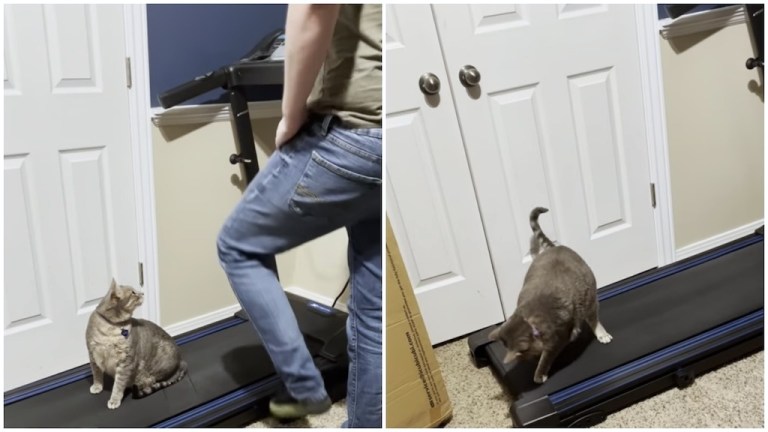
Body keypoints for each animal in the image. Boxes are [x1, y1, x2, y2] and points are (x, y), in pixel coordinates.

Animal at [86, 280, 188, 408]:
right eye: (133, 293)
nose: (142, 293)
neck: (111, 327)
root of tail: (181, 362)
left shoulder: (125, 362)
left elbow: (118, 385)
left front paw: (114, 400)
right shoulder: (92, 354)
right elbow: (97, 375)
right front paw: (97, 386)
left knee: (150, 381)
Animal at [492, 208, 612, 384]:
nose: (526, 360)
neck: (529, 321)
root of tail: (555, 248)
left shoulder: (555, 340)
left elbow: (545, 359)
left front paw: (539, 374)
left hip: (589, 296)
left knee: (593, 317)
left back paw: (600, 333)